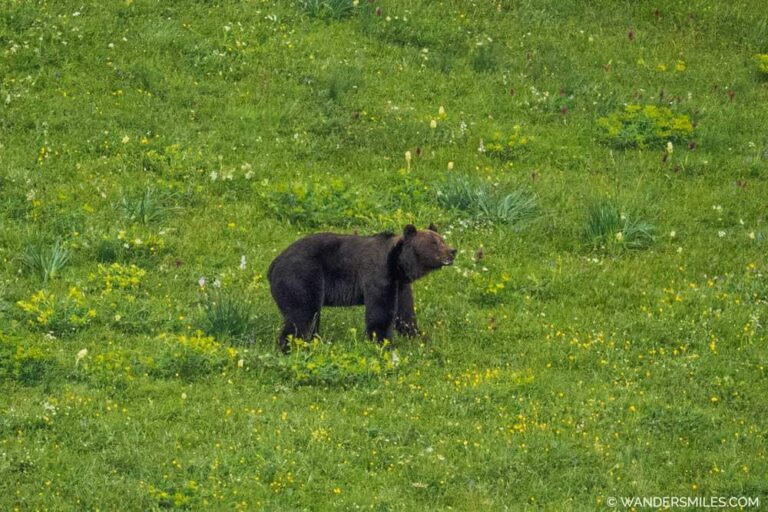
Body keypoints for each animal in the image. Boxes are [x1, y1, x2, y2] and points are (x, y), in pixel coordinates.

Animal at [267, 224, 456, 353]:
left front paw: (419, 336)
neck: (398, 265)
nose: (452, 251)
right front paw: (384, 343)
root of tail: (273, 264)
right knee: (302, 315)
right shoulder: (379, 274)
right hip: (302, 276)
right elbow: (381, 312)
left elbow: (405, 313)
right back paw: (290, 346)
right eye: (434, 243)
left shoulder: (401, 285)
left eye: (442, 240)